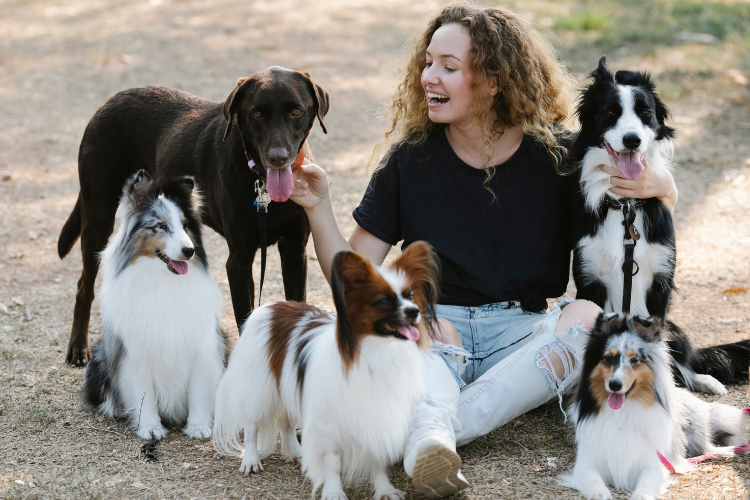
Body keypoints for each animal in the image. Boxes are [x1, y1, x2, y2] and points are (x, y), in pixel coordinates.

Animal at [58, 66, 328, 366]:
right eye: (256, 114)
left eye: (296, 111)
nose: (277, 157)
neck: (264, 187)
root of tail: (111, 99)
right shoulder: (238, 261)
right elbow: (243, 318)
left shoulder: (294, 251)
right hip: (99, 216)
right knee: (84, 286)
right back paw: (78, 348)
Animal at [81, 171, 226, 438]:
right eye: (161, 226)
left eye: (185, 226)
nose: (190, 250)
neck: (163, 281)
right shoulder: (137, 351)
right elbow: (144, 394)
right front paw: (150, 427)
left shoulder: (201, 346)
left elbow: (199, 391)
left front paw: (198, 426)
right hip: (99, 357)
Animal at [212, 241, 438, 496]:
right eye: (384, 301)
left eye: (410, 296)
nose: (414, 311)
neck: (378, 351)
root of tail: (270, 306)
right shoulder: (327, 422)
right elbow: (331, 461)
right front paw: (334, 493)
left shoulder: (375, 415)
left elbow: (376, 460)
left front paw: (385, 490)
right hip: (261, 388)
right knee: (251, 425)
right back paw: (250, 460)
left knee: (286, 423)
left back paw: (297, 455)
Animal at [560, 312, 748, 500]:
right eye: (607, 358)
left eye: (634, 360)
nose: (614, 385)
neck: (623, 413)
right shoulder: (587, 465)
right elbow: (595, 483)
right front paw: (601, 494)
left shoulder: (654, 465)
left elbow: (645, 487)